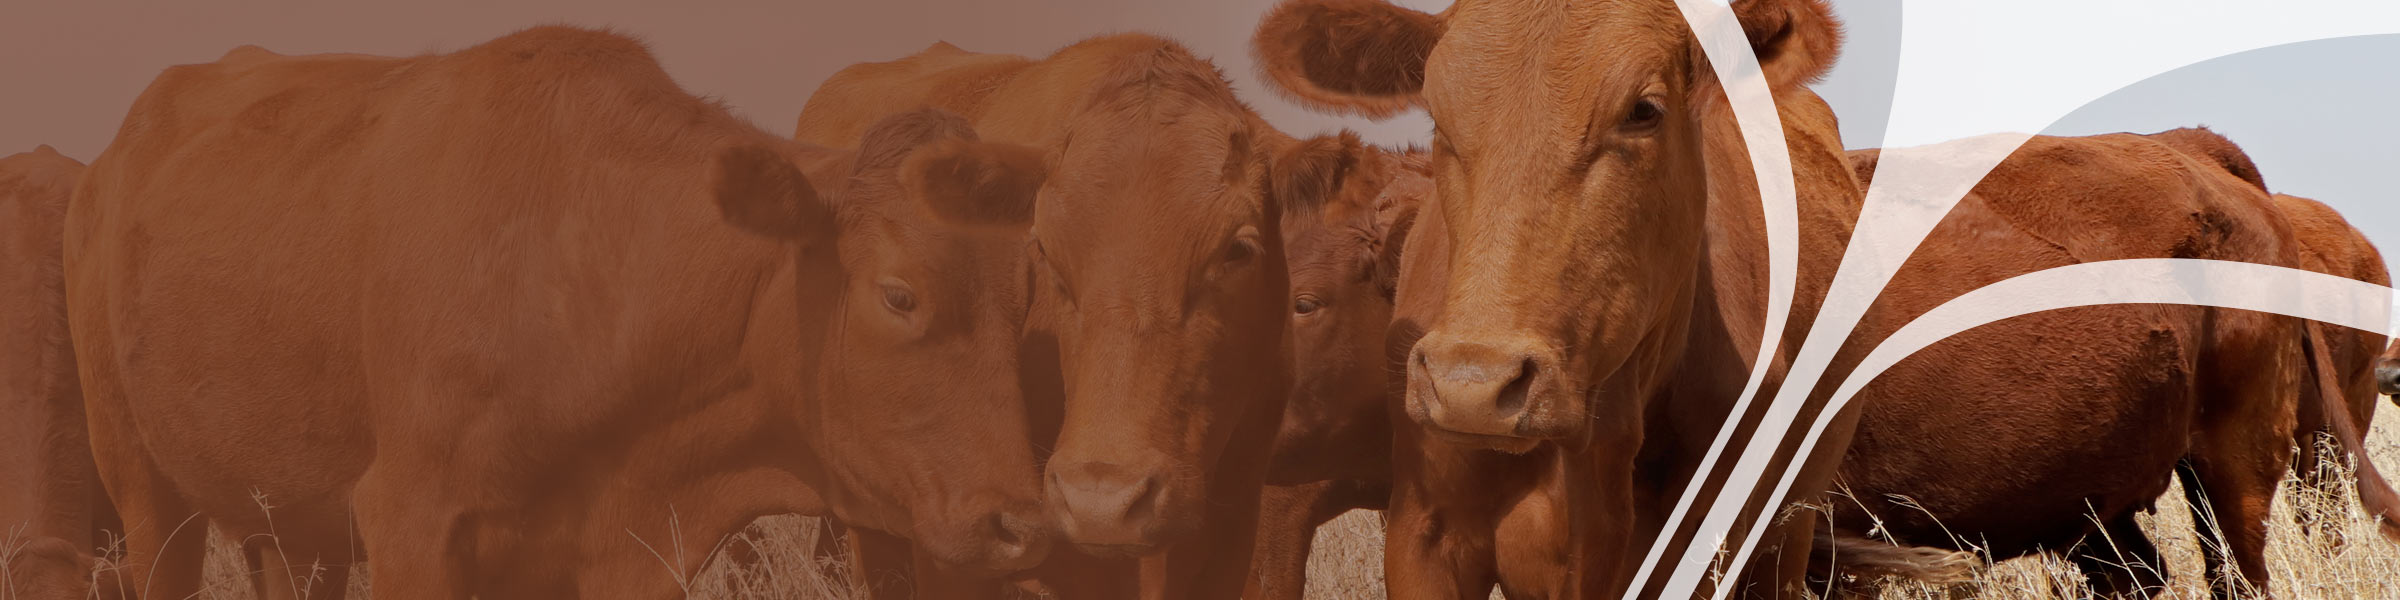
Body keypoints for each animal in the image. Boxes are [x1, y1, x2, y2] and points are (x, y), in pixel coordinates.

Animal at [66, 28, 1058, 598]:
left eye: (1022, 300)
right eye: (900, 294)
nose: (1020, 524)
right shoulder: (411, 525)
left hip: (289, 529)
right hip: (146, 494)